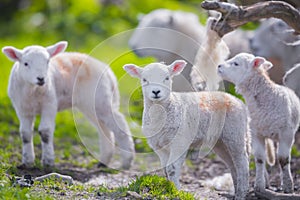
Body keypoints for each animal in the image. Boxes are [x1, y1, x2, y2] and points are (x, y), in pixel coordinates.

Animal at [1, 41, 135, 170]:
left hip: (100, 99)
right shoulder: (22, 109)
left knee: (119, 123)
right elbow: (25, 134)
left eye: (47, 62)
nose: (41, 78)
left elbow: (45, 132)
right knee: (104, 129)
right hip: (90, 105)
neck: (32, 90)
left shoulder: (50, 104)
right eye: (26, 63)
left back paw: (127, 161)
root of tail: (108, 72)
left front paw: (48, 162)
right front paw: (27, 162)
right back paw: (103, 162)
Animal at [123, 60, 250, 199]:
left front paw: (175, 191)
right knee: (232, 164)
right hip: (220, 141)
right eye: (144, 79)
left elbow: (172, 168)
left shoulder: (180, 141)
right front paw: (168, 188)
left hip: (235, 132)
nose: (156, 92)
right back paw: (236, 190)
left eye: (167, 78)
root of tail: (238, 101)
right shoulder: (158, 145)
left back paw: (241, 193)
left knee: (242, 162)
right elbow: (165, 169)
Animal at [218, 52, 300, 193]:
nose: (218, 66)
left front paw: (288, 186)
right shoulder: (256, 133)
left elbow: (283, 160)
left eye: (236, 63)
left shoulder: (286, 134)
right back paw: (266, 182)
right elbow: (260, 158)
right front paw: (259, 185)